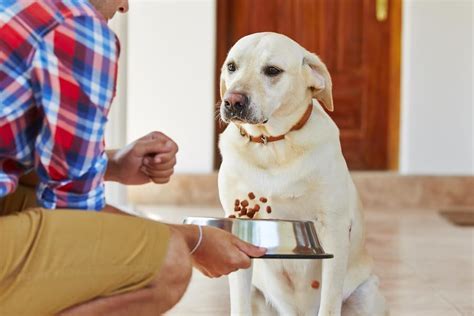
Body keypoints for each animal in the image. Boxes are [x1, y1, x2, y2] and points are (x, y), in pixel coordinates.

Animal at [217, 32, 386, 316]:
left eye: (272, 70)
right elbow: (238, 303)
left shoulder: (333, 228)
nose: (232, 101)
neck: (272, 144)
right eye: (232, 66)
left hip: (366, 293)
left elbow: (329, 302)